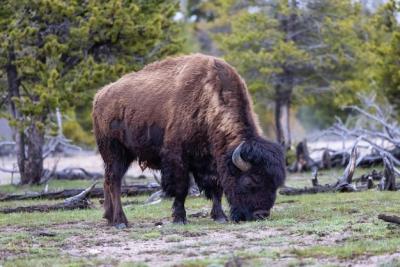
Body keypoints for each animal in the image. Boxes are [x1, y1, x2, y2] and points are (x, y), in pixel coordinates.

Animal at [92, 54, 286, 228]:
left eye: (276, 184)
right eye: (250, 181)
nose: (261, 215)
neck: (208, 98)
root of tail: (100, 96)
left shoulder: (210, 160)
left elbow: (215, 187)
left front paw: (220, 217)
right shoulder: (177, 157)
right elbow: (181, 188)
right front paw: (180, 218)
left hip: (123, 155)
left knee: (107, 180)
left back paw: (109, 217)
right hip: (115, 152)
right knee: (114, 181)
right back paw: (120, 221)